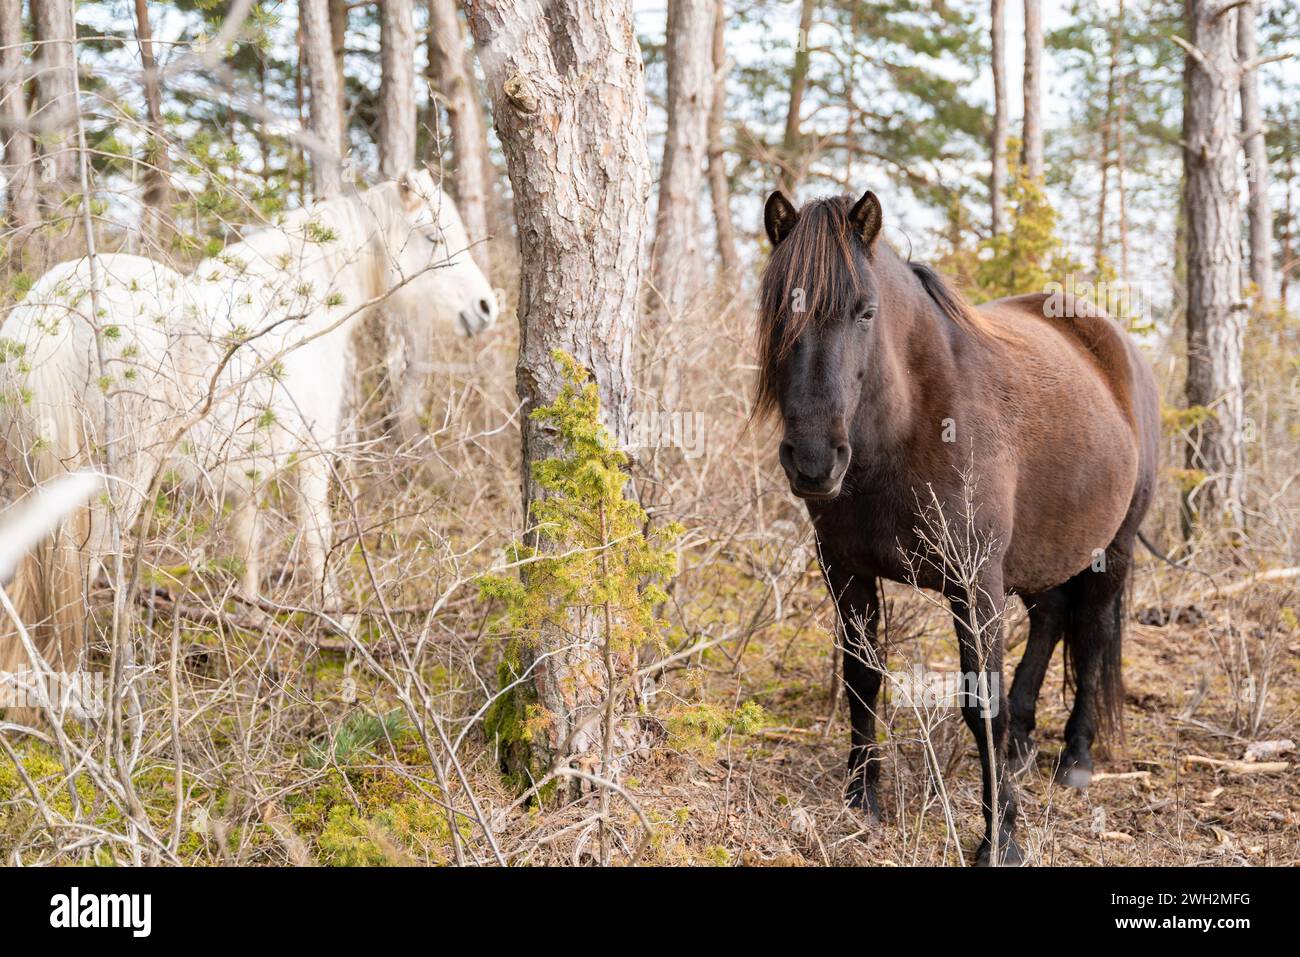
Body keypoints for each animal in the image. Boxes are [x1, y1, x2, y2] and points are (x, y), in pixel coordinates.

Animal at [0, 169, 497, 689]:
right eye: (433, 237)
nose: (486, 308)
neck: (302, 306)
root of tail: (51, 308)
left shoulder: (249, 471)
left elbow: (247, 542)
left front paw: (252, 620)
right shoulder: (314, 456)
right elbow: (317, 537)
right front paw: (337, 624)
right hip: (116, 480)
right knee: (89, 566)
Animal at [757, 189, 1159, 865]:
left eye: (866, 313)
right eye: (777, 309)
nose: (813, 460)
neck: (912, 423)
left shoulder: (975, 585)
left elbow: (981, 706)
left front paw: (1001, 837)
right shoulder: (846, 570)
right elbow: (862, 680)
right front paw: (863, 800)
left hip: (1113, 549)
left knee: (1093, 633)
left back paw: (1076, 758)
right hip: (1042, 553)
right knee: (1051, 619)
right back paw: (1022, 745)